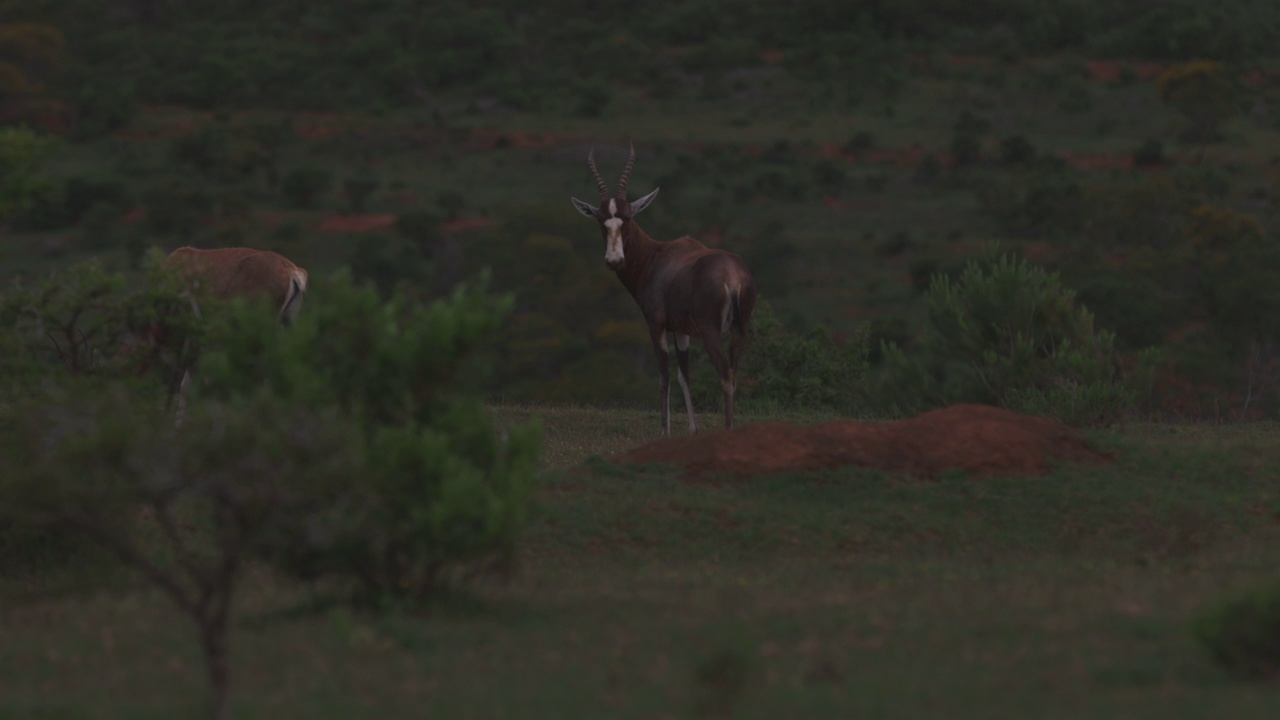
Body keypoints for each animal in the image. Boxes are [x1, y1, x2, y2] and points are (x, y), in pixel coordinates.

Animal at [568, 140, 747, 430]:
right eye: (601, 220)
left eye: (628, 217)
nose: (614, 260)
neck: (658, 256)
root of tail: (731, 276)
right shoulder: (682, 331)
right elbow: (684, 377)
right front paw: (693, 431)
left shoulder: (657, 325)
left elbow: (664, 378)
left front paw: (665, 432)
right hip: (739, 332)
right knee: (734, 372)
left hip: (711, 333)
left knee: (726, 374)